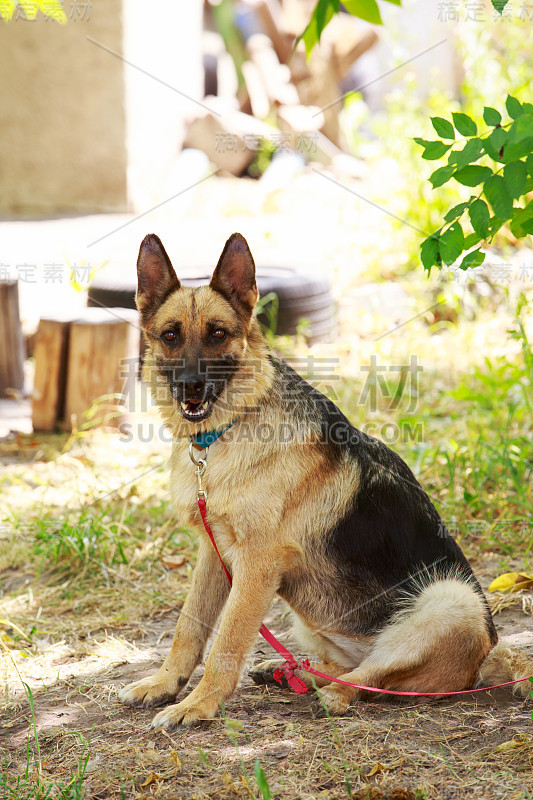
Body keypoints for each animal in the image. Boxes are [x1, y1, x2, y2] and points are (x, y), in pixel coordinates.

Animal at [118, 233, 528, 732]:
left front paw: (198, 704)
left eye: (217, 333)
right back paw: (295, 672)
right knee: (352, 667)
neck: (228, 430)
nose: (191, 388)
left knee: (372, 679)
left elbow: (225, 643)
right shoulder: (213, 554)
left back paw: (332, 694)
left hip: (451, 600)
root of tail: (486, 660)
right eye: (171, 335)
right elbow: (188, 626)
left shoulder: (256, 566)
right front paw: (164, 683)